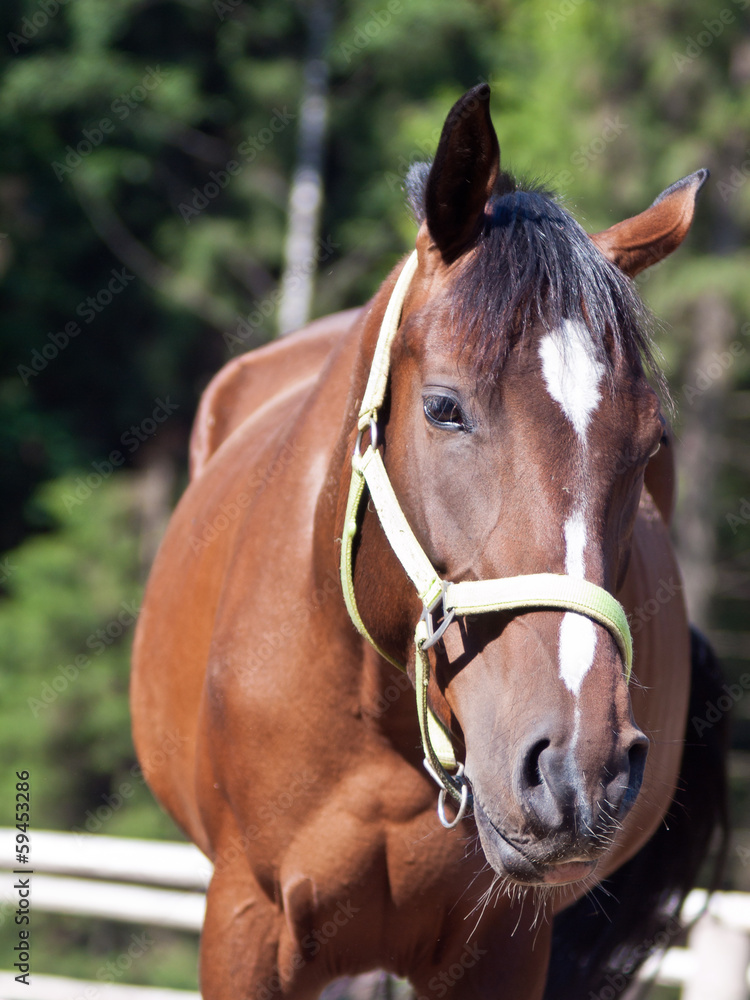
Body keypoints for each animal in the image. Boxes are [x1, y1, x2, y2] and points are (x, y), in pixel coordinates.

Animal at [131, 84, 728, 1000]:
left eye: (650, 442)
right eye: (445, 408)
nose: (577, 766)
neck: (375, 724)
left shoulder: (507, 948)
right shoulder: (245, 925)